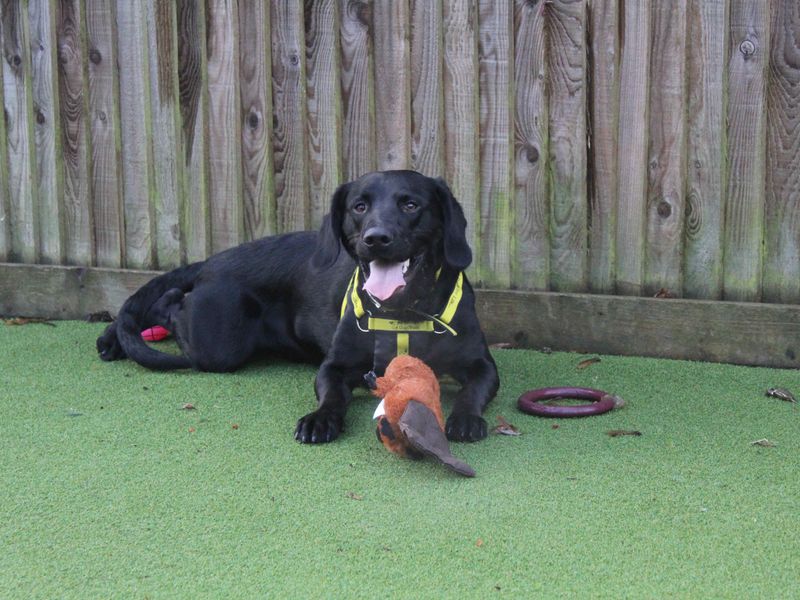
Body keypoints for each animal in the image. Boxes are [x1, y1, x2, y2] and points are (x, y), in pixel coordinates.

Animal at [97, 171, 496, 442]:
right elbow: (332, 394)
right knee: (169, 301)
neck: (402, 314)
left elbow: (473, 390)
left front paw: (464, 419)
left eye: (411, 204)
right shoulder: (334, 366)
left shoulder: (483, 365)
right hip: (218, 343)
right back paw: (113, 337)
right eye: (359, 206)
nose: (376, 238)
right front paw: (320, 419)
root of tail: (214, 259)